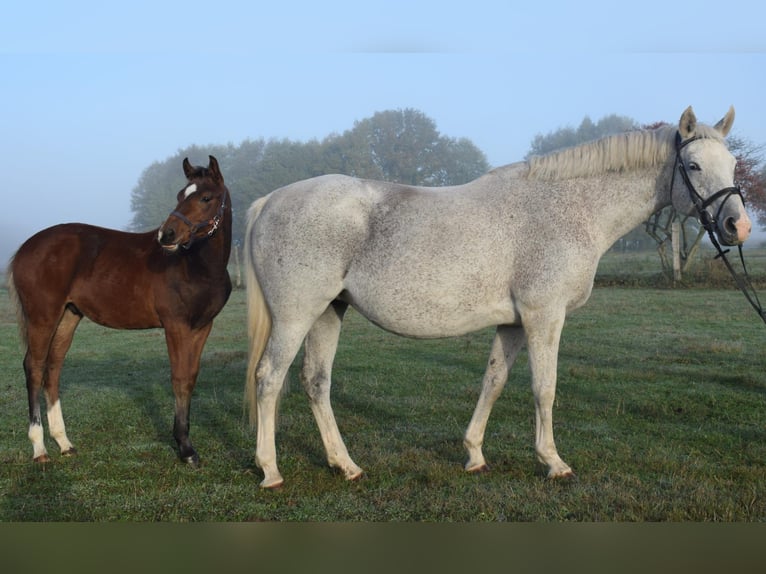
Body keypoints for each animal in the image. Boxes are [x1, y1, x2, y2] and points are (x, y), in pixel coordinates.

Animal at [244, 106, 752, 488]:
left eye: (731, 166)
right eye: (693, 166)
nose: (739, 226)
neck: (570, 207)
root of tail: (270, 200)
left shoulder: (512, 323)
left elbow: (494, 381)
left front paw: (474, 455)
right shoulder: (544, 316)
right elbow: (544, 388)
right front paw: (554, 462)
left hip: (329, 311)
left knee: (315, 382)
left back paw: (345, 465)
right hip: (296, 315)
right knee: (269, 378)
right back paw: (270, 471)